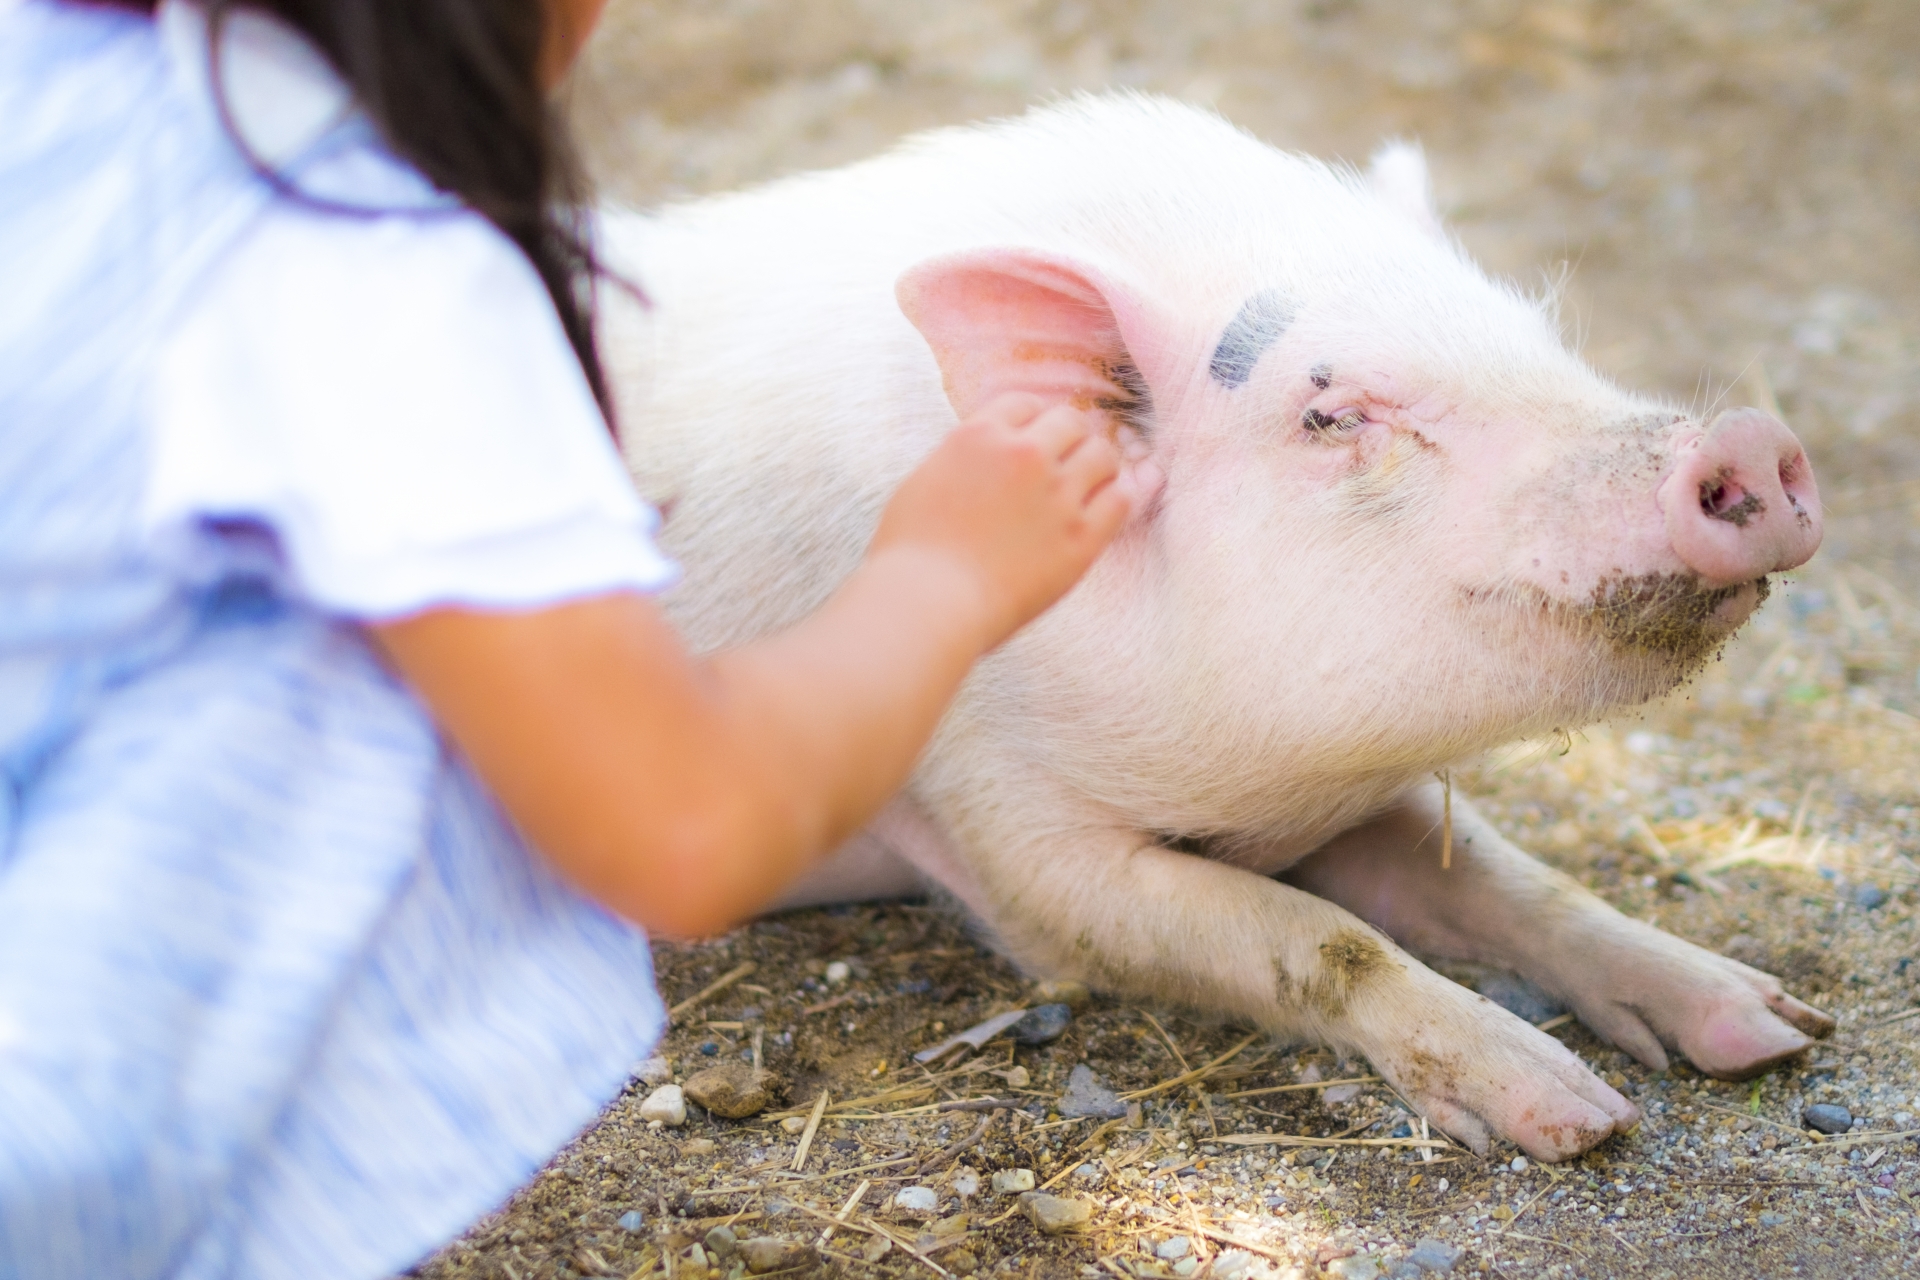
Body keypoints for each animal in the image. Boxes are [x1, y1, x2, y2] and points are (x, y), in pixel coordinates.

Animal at [599, 94, 1827, 1166]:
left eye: (1539, 334)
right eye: (1332, 413)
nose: (1749, 439)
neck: (1256, 794)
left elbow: (1508, 878)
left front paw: (1776, 1030)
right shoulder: (1006, 830)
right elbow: (1311, 935)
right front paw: (1579, 1115)